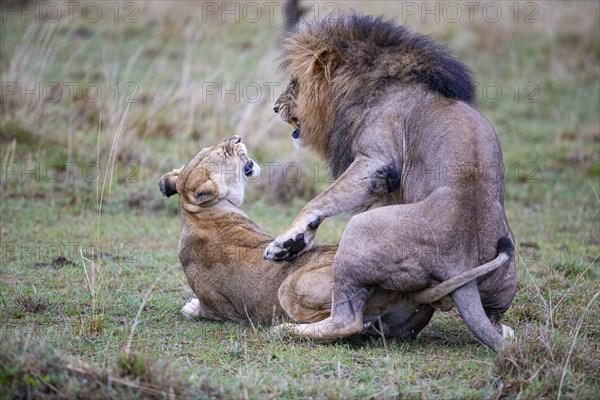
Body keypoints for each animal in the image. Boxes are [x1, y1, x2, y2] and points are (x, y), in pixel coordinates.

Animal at [264, 14, 516, 350]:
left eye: (296, 84)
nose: (275, 107)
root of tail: (460, 258)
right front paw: (296, 241)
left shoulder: (377, 159)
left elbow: (321, 199)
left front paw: (286, 242)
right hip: (505, 275)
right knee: (493, 319)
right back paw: (504, 331)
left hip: (361, 229)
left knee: (346, 321)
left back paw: (290, 331)